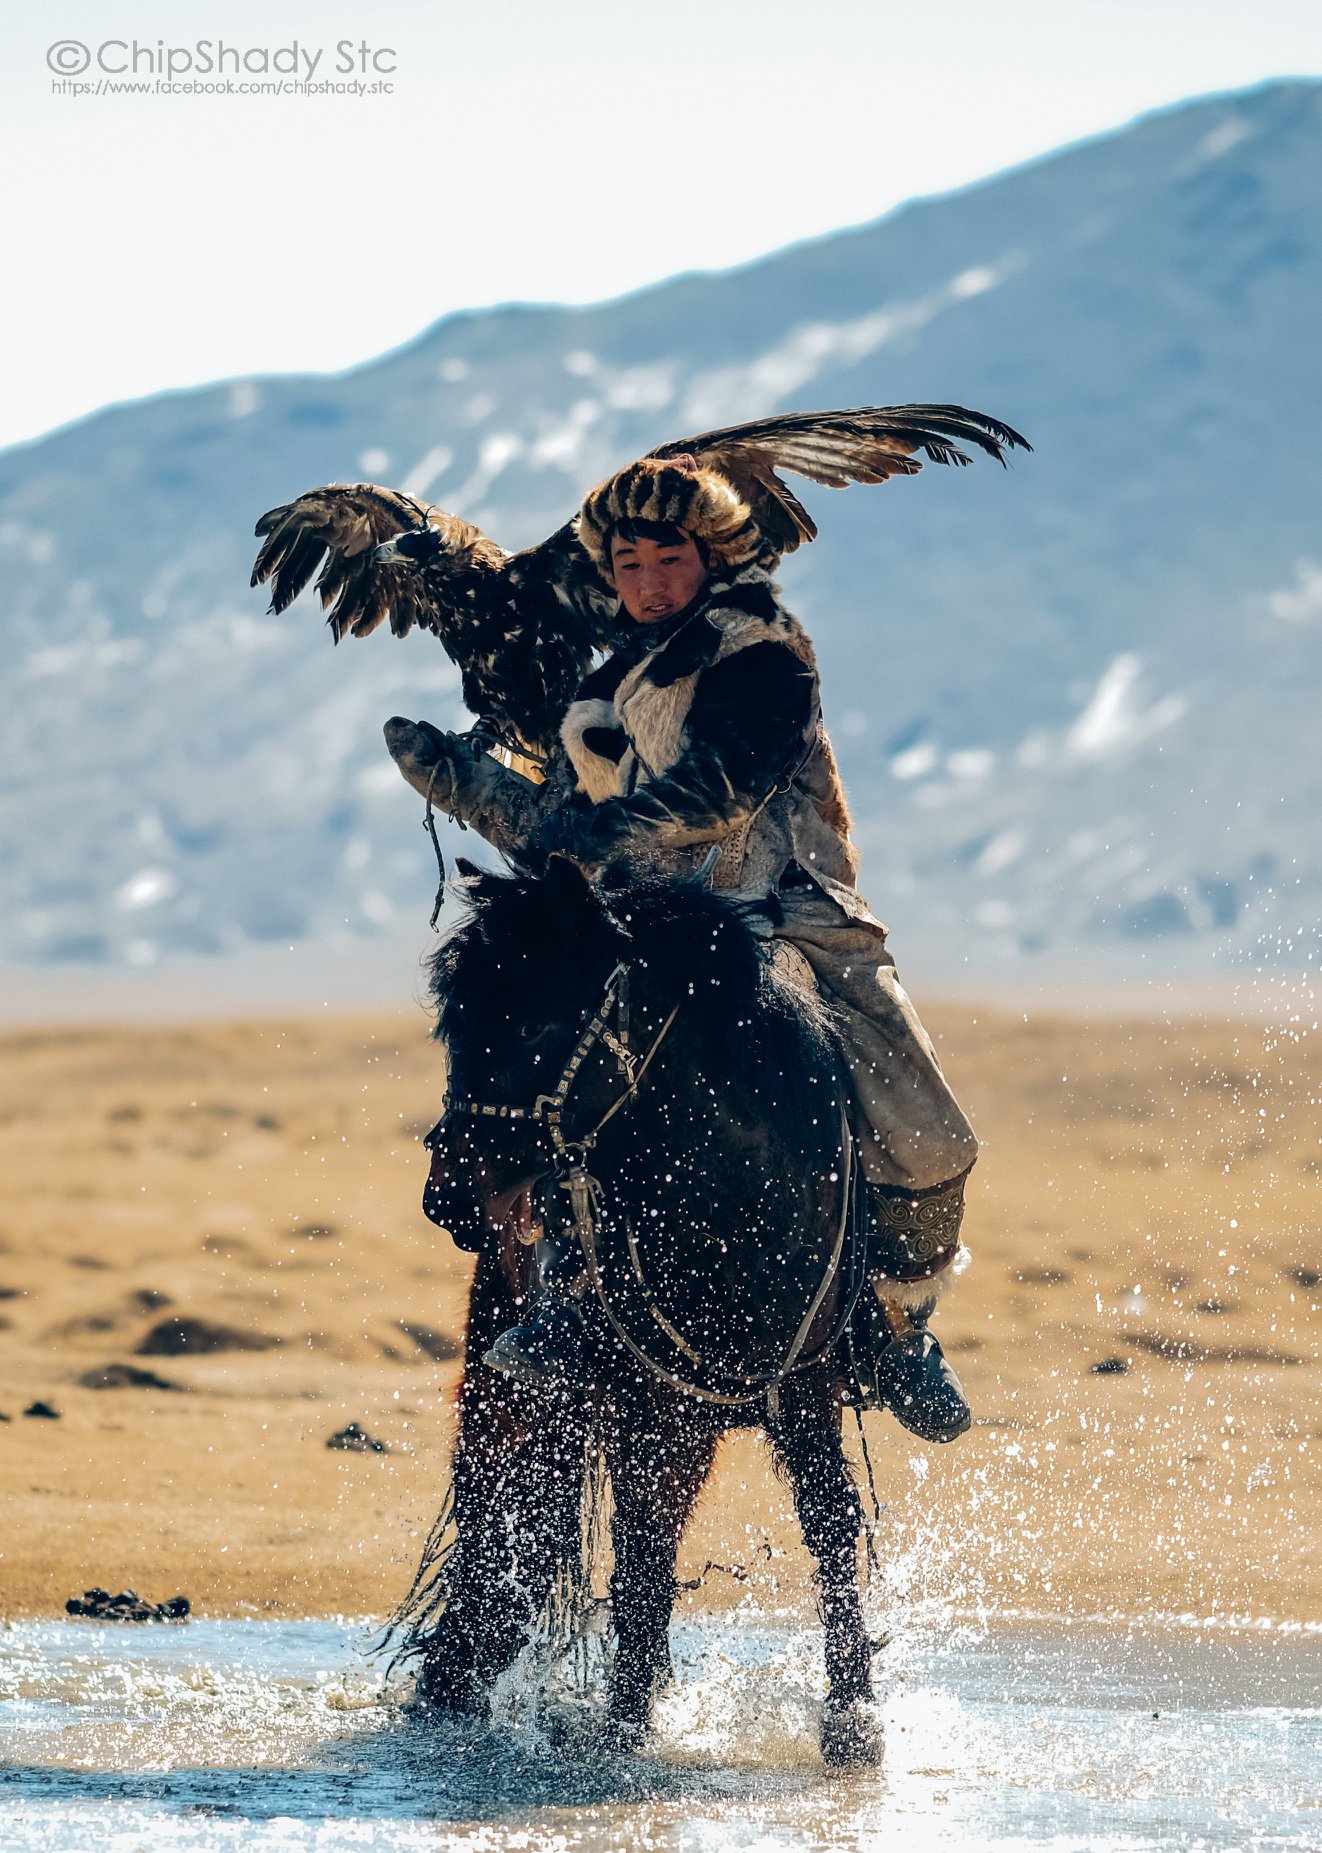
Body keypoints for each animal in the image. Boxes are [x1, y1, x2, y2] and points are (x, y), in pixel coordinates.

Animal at [396, 856, 882, 1764]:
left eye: (536, 1025)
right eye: (456, 1024)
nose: (447, 1200)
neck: (729, 1204)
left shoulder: (805, 1386)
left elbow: (830, 1524)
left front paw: (854, 1720)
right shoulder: (637, 1404)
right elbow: (639, 1558)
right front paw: (622, 1727)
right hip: (519, 1398)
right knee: (497, 1527)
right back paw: (451, 1692)